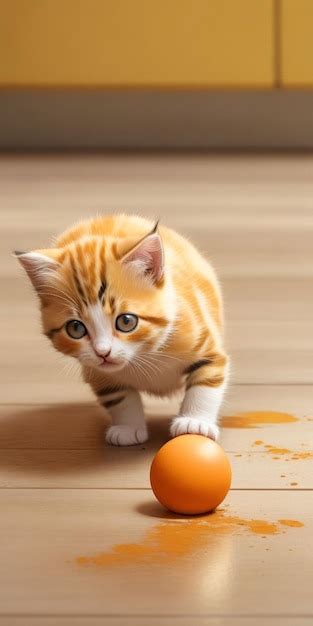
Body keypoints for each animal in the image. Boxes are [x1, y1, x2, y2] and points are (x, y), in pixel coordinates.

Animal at [15, 214, 228, 444]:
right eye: (75, 328)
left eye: (126, 322)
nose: (103, 352)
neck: (142, 355)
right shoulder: (97, 372)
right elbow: (120, 398)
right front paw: (128, 428)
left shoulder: (205, 344)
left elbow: (206, 383)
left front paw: (195, 422)